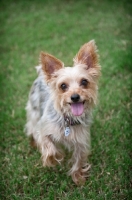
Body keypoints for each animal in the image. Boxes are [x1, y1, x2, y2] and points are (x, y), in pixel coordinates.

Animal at [25, 39, 101, 185]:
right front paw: (55, 157)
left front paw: (78, 178)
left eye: (84, 82)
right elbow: (49, 147)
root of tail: (41, 75)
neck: (67, 118)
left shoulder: (81, 141)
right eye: (63, 86)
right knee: (31, 127)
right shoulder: (43, 129)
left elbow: (78, 159)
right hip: (34, 111)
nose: (75, 97)